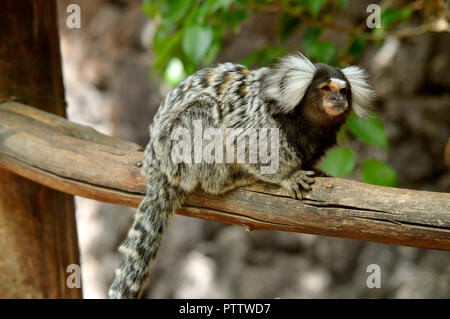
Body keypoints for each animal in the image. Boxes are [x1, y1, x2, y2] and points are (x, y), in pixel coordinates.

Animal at [107, 53, 374, 300]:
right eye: (326, 89)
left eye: (344, 90)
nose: (337, 99)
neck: (304, 120)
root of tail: (155, 166)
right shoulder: (258, 118)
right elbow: (246, 143)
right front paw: (287, 177)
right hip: (176, 152)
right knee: (203, 109)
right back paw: (226, 181)